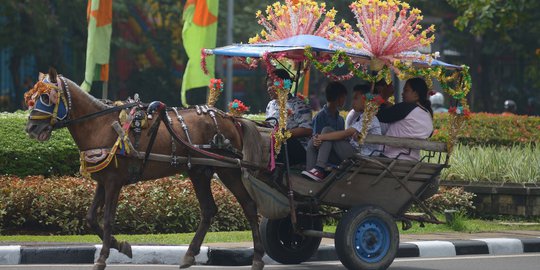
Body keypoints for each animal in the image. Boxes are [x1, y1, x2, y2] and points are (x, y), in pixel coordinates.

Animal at [24, 69, 268, 270]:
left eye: (46, 98)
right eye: (33, 98)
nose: (31, 128)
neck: (100, 126)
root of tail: (231, 119)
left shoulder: (114, 181)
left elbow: (108, 219)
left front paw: (102, 258)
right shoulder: (103, 180)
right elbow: (91, 218)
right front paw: (122, 246)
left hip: (229, 170)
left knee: (249, 205)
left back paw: (257, 257)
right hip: (199, 171)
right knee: (208, 209)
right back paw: (189, 255)